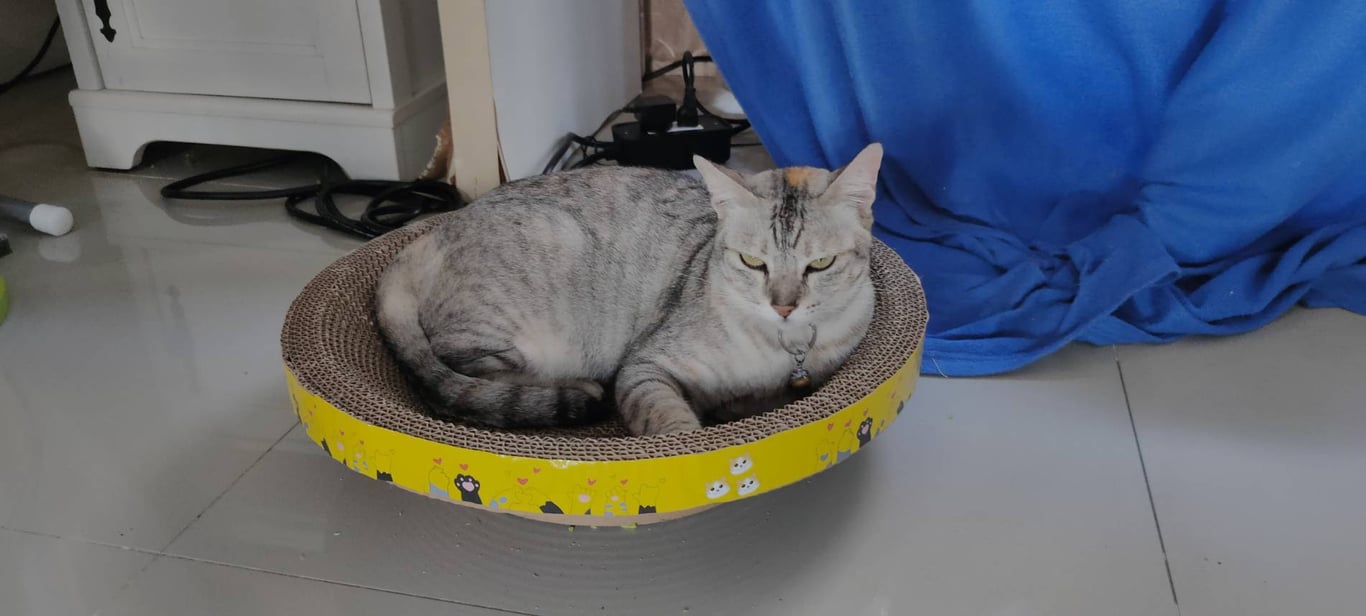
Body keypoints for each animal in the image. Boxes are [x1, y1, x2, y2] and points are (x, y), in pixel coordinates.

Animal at [375, 144, 883, 435]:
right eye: (752, 262)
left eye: (821, 264)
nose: (783, 306)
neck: (782, 348)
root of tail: (429, 235)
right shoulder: (645, 367)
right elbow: (672, 425)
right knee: (458, 378)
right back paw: (580, 386)